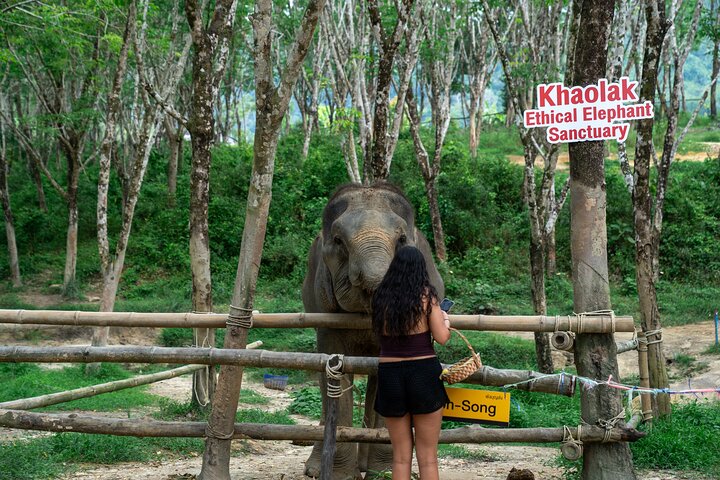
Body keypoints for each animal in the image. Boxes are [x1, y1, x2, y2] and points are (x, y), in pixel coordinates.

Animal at [302, 181, 444, 480]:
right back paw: (318, 469)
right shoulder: (323, 309)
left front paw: (384, 472)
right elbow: (333, 363)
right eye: (339, 241)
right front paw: (341, 475)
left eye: (402, 239)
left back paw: (367, 467)